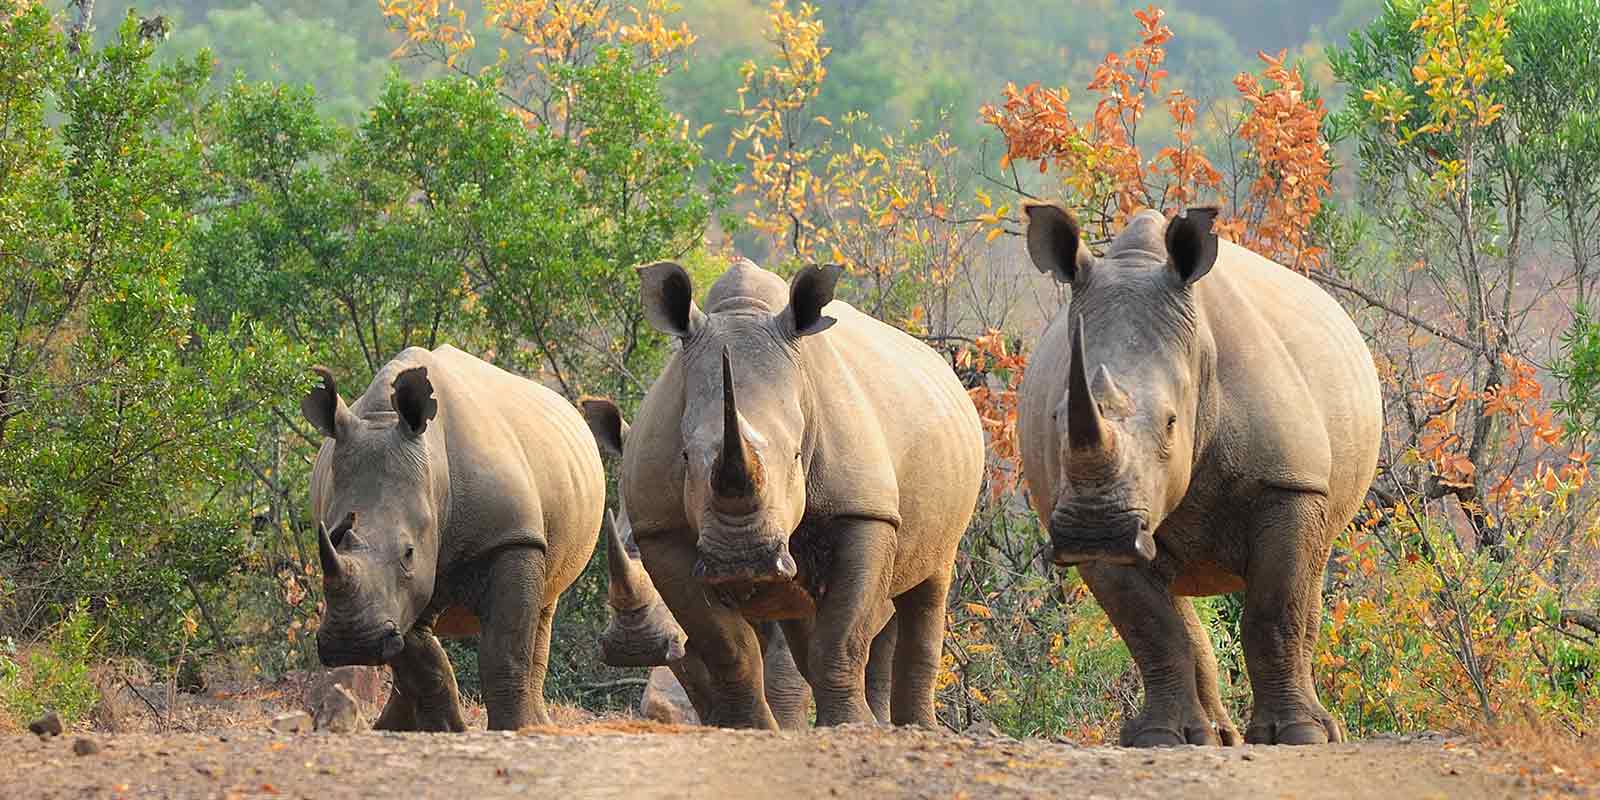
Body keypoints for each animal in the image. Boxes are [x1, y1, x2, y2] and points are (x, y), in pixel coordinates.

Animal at [303, 345, 604, 731]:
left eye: (408, 553)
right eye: (330, 539)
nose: (351, 644)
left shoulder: (512, 539)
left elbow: (505, 651)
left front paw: (511, 729)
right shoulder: (401, 594)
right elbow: (420, 656)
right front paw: (447, 730)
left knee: (544, 608)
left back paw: (539, 726)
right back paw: (392, 728)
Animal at [620, 259, 984, 728]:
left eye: (796, 455)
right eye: (684, 456)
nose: (741, 560)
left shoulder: (863, 511)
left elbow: (842, 635)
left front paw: (850, 726)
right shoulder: (660, 530)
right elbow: (727, 647)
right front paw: (749, 729)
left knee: (929, 584)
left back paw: (911, 726)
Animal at [1016, 203, 1382, 746]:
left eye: (1171, 422)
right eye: (1058, 417)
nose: (1095, 530)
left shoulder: (1289, 484)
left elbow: (1275, 613)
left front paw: (1297, 736)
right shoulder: (1089, 516)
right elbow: (1151, 628)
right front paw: (1160, 740)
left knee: (1308, 582)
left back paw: (1319, 729)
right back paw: (1214, 737)